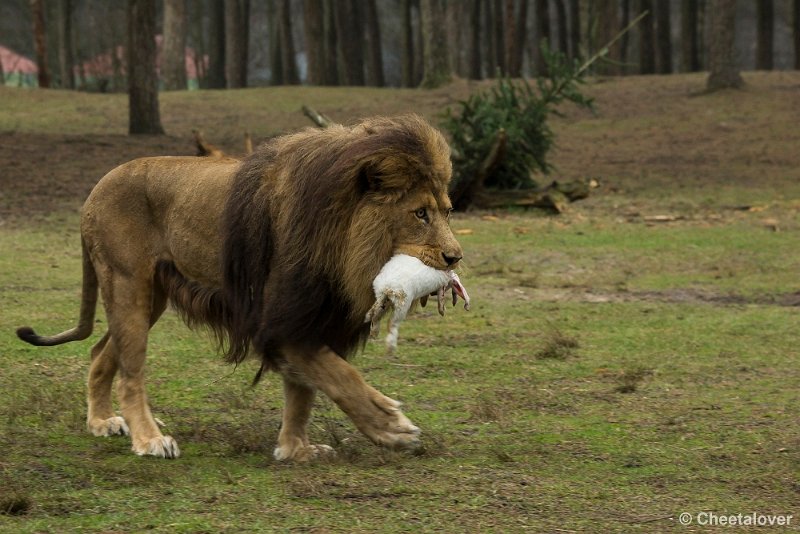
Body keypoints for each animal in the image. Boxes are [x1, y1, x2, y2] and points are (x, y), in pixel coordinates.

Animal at [17, 115, 462, 462]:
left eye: (448, 212)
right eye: (419, 214)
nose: (456, 257)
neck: (342, 242)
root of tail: (96, 189)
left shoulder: (307, 314)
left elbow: (304, 391)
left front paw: (296, 449)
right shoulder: (280, 320)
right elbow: (341, 378)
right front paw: (391, 426)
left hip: (149, 298)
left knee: (102, 352)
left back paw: (103, 421)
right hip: (127, 284)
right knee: (131, 372)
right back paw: (149, 438)